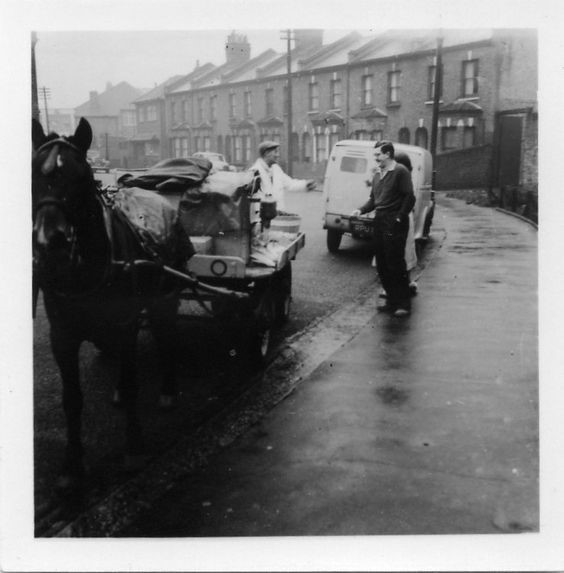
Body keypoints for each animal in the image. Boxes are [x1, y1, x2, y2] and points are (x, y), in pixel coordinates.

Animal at [32, 117, 192, 492]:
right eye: (33, 171)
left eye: (81, 176)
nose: (50, 241)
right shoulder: (62, 335)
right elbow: (71, 399)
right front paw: (72, 465)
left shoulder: (124, 321)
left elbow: (134, 384)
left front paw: (133, 448)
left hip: (164, 297)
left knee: (166, 337)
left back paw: (168, 389)